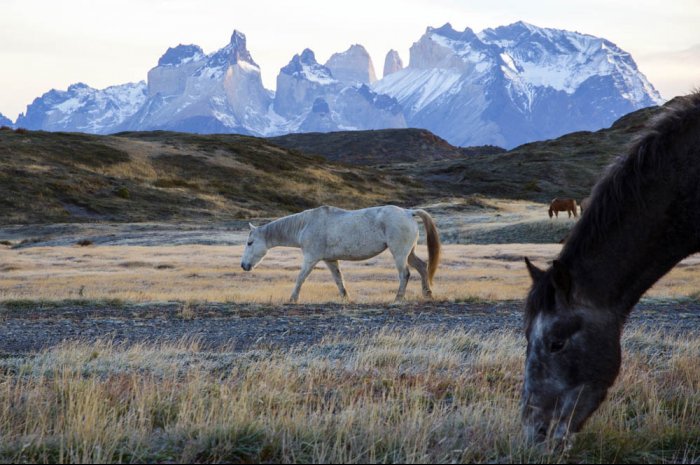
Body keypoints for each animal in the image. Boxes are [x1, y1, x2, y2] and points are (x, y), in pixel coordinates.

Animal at [239, 206, 438, 300]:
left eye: (250, 243)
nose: (244, 265)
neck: (305, 225)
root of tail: (408, 212)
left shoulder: (311, 258)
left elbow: (301, 278)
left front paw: (292, 298)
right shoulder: (330, 260)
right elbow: (338, 279)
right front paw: (345, 298)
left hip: (399, 253)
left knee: (405, 274)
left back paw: (398, 297)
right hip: (409, 253)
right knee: (422, 267)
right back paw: (427, 293)